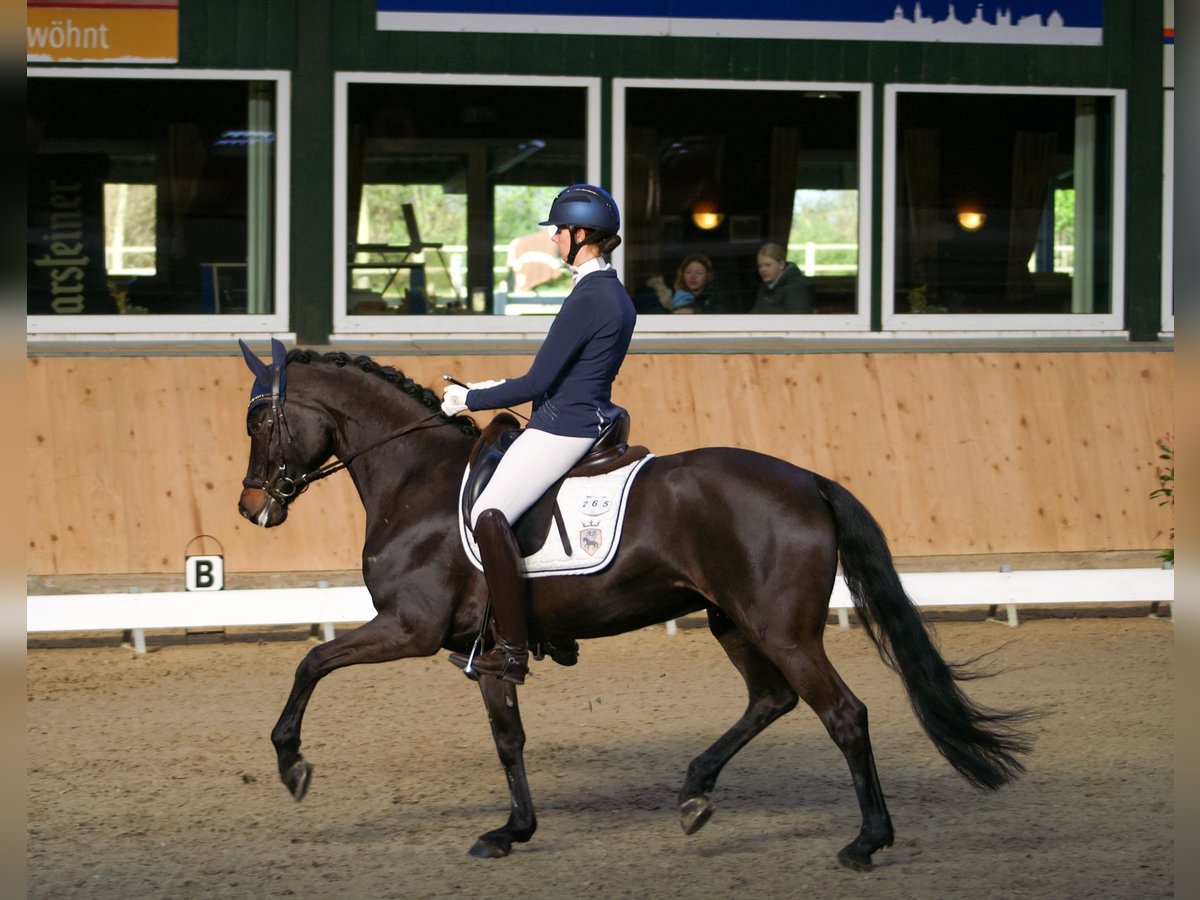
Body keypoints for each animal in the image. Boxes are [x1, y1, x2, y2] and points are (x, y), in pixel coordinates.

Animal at [234, 345, 1032, 873]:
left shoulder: (408, 628)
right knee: (771, 699)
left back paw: (866, 841)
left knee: (843, 714)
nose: (250, 508)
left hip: (783, 629)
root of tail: (807, 479)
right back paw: (695, 791)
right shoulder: (487, 650)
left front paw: (290, 761)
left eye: (261, 425)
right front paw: (512, 830)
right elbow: (508, 739)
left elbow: (311, 661)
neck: (416, 481)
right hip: (731, 620)